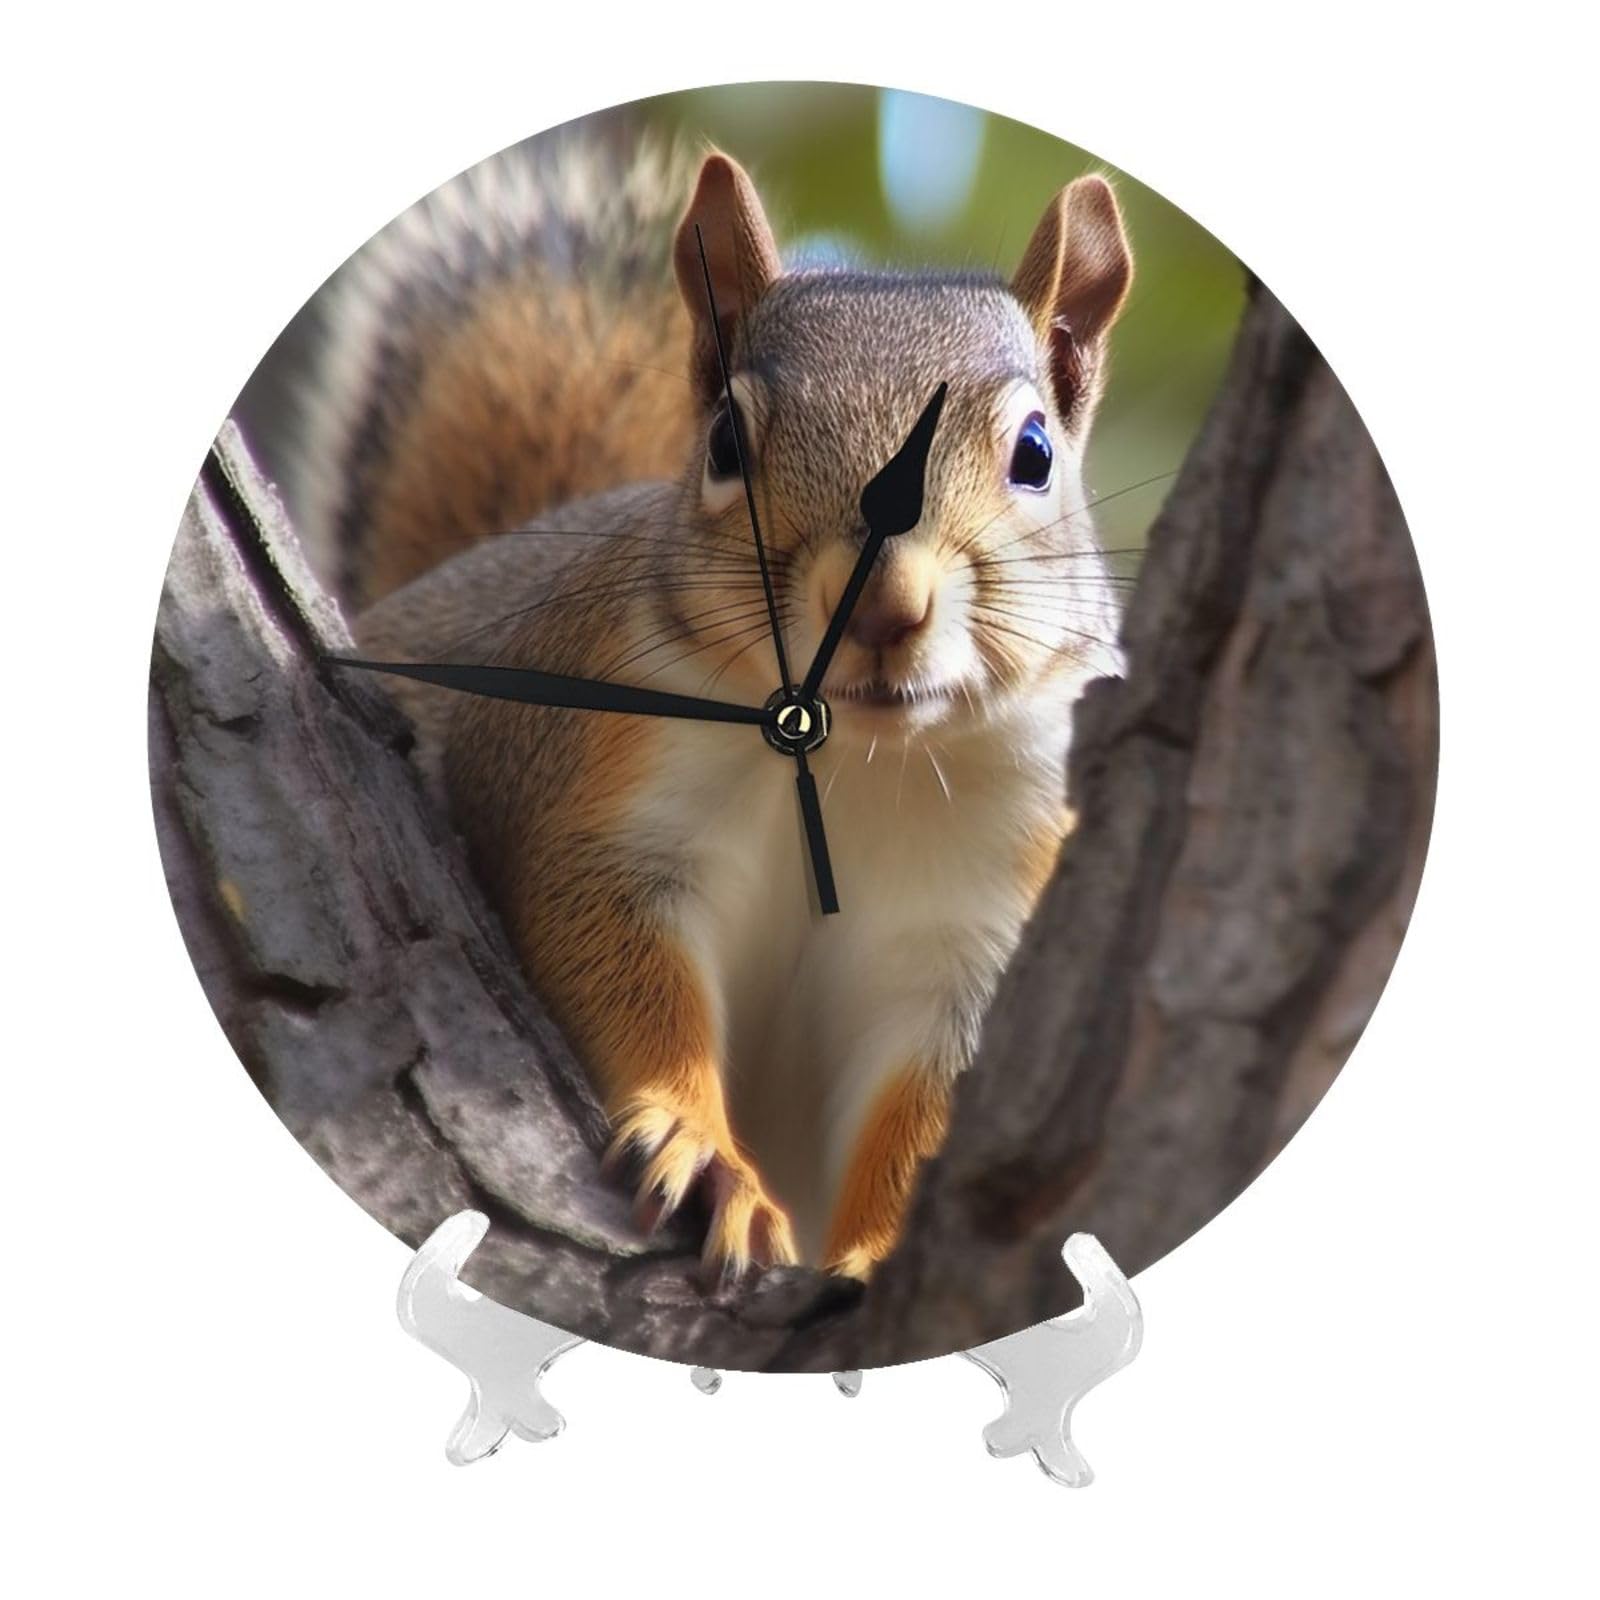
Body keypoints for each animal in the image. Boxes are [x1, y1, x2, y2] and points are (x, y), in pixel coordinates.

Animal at [291, 133, 1133, 1279]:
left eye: (1036, 454)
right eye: (727, 441)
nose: (881, 603)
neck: (854, 762)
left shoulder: (985, 915)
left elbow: (928, 1101)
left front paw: (874, 1254)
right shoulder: (599, 801)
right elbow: (621, 967)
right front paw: (702, 1154)